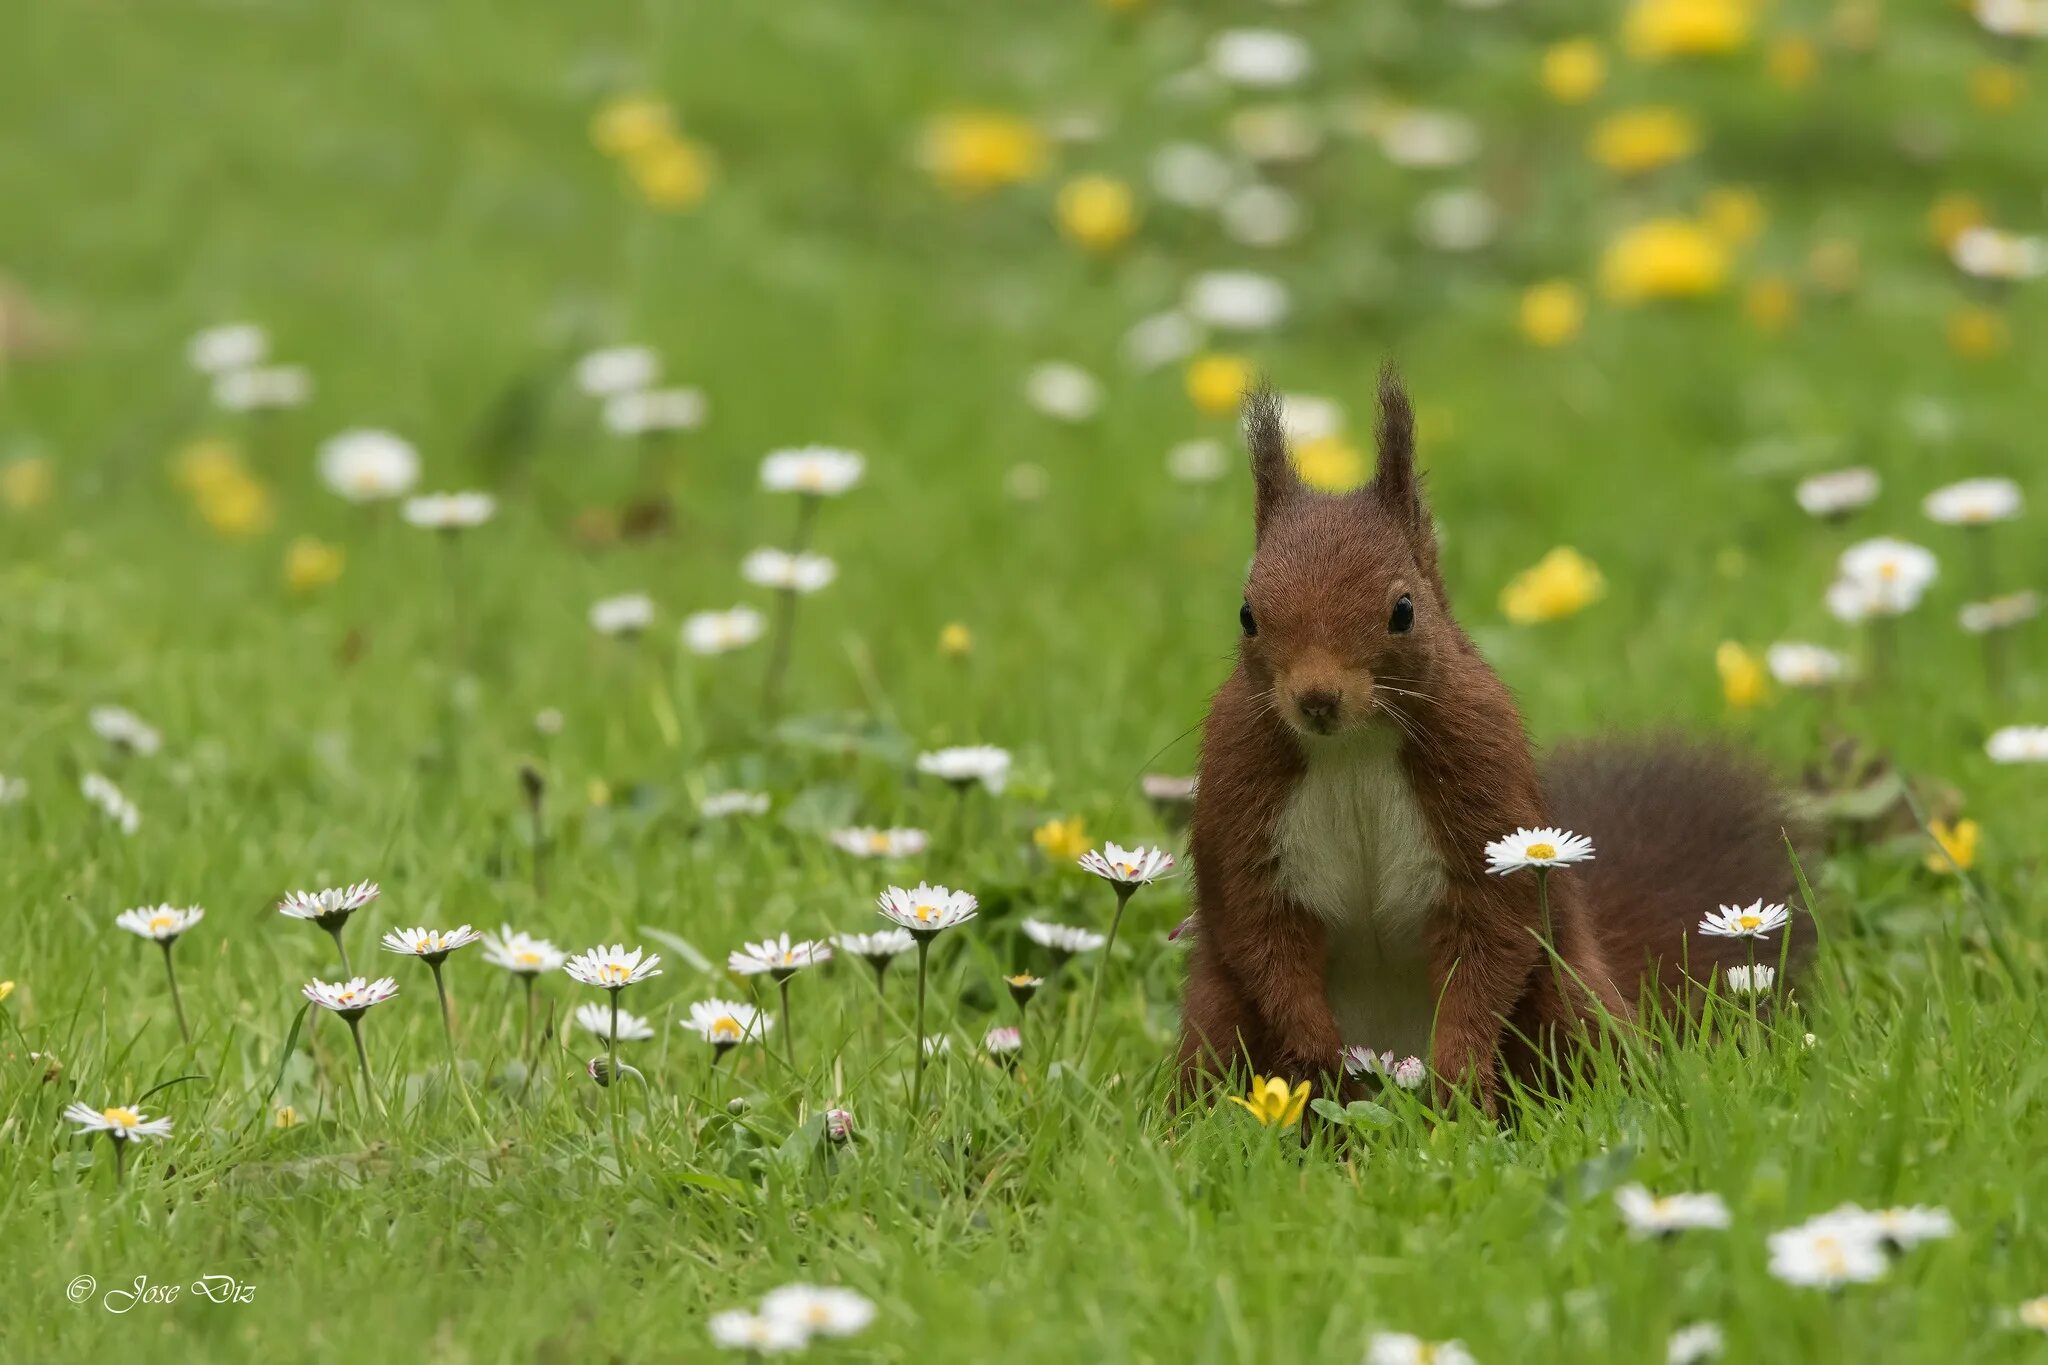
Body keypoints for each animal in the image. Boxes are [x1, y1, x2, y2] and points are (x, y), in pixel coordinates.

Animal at [1179, 368, 1802, 1113]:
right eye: (1247, 614)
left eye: (1404, 611)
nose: (1317, 699)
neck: (1352, 747)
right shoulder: (1240, 791)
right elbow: (1258, 928)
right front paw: (1317, 1052)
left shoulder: (1482, 774)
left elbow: (1494, 932)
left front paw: (1458, 1074)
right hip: (1215, 1015)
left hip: (1567, 1000)